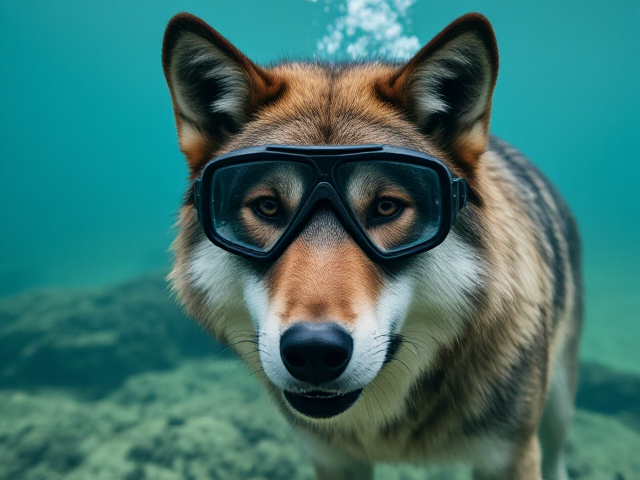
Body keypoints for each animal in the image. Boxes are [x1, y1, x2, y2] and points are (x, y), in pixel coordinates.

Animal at [162, 11, 582, 480]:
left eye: (386, 207)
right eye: (268, 206)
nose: (313, 350)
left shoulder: (510, 457)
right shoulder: (334, 460)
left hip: (558, 406)